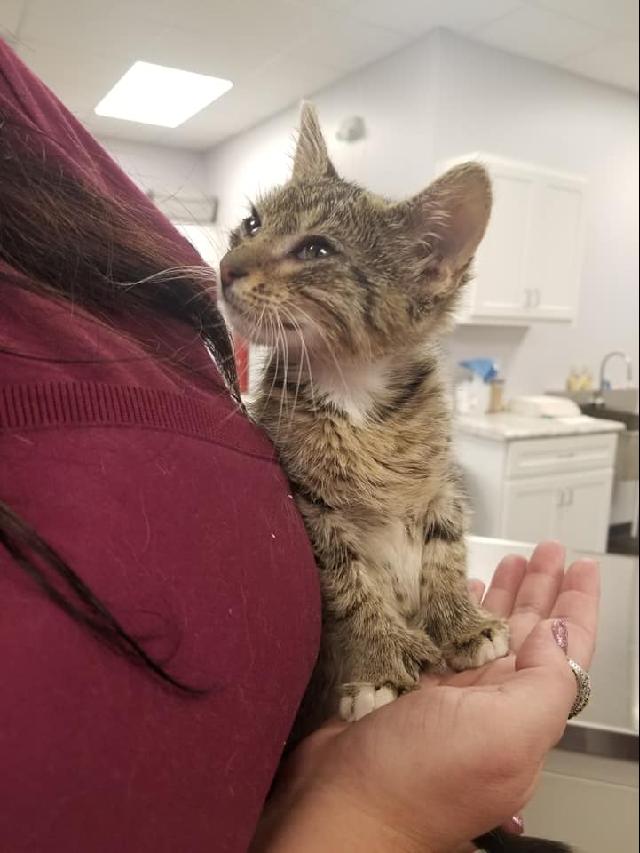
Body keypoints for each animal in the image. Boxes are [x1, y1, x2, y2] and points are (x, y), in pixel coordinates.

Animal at [221, 105, 568, 852]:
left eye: (317, 250)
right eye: (252, 224)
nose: (228, 265)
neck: (359, 401)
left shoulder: (440, 486)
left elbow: (443, 554)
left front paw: (459, 622)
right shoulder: (311, 507)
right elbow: (353, 585)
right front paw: (379, 662)